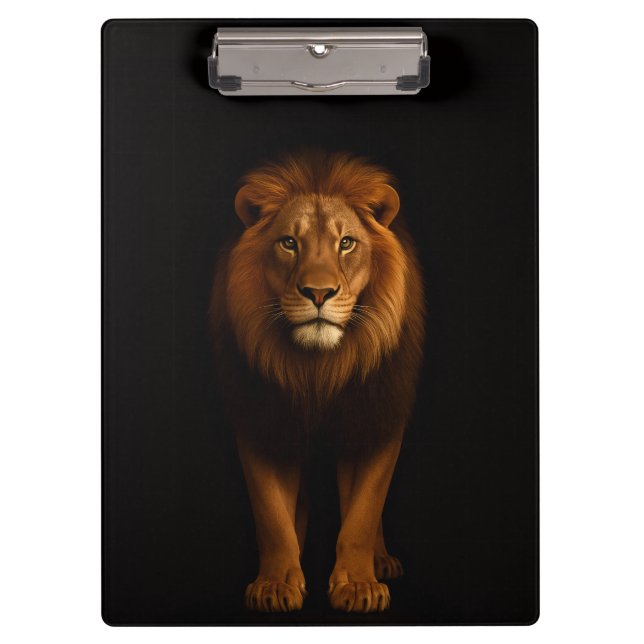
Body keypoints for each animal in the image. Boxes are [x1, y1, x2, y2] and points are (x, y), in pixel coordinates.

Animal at [209, 150, 425, 613]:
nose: (319, 293)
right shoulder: (262, 421)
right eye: (289, 242)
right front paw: (275, 584)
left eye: (347, 243)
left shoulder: (376, 417)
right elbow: (271, 515)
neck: (318, 370)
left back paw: (381, 562)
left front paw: (359, 586)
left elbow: (364, 512)